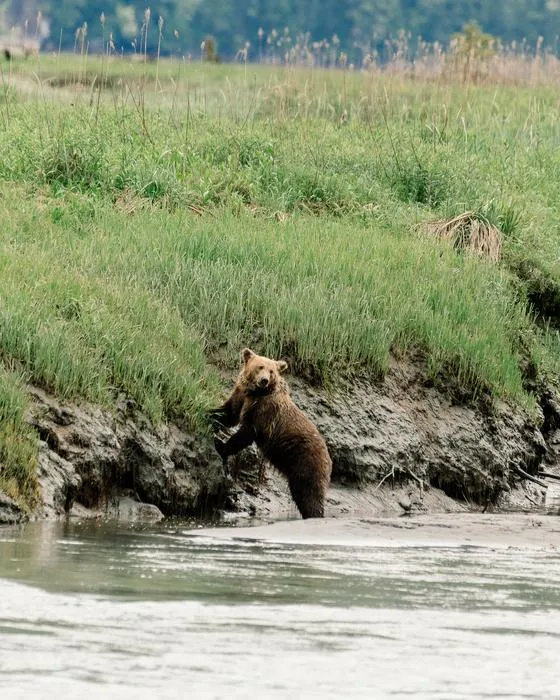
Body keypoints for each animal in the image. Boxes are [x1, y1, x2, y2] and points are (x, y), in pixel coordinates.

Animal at [209, 348, 332, 519]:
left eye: (271, 370)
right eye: (260, 366)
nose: (264, 380)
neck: (255, 393)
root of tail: (329, 458)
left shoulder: (265, 411)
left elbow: (247, 432)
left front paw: (221, 445)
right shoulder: (241, 396)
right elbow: (227, 414)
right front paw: (206, 415)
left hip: (305, 462)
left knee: (308, 494)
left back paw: (314, 514)